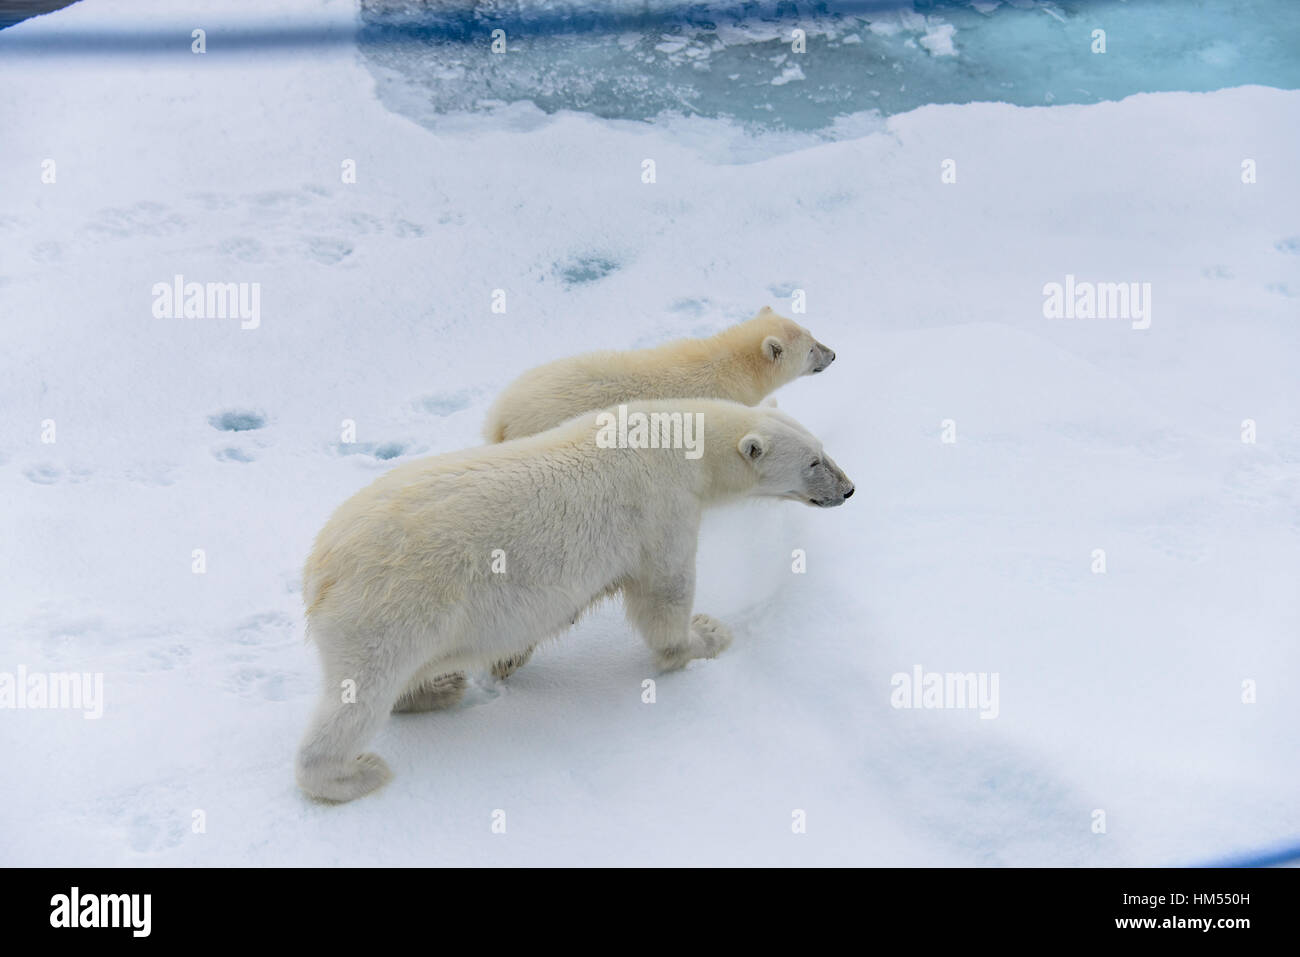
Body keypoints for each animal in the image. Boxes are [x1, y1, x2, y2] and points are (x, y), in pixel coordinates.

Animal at [299, 395, 857, 800]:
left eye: (822, 449)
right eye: (813, 462)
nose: (849, 489)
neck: (677, 438)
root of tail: (320, 565)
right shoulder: (663, 507)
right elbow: (664, 594)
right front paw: (706, 635)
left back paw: (441, 687)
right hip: (393, 603)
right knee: (360, 693)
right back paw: (355, 772)